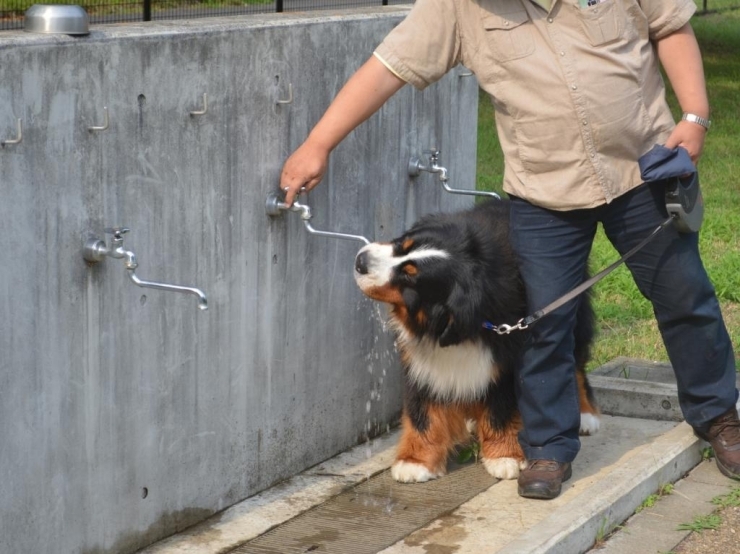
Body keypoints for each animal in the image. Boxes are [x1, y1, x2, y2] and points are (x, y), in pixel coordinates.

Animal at [354, 197, 600, 478]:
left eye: (408, 274)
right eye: (402, 244)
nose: (360, 261)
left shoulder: (507, 357)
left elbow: (500, 408)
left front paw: (504, 455)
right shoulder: (421, 359)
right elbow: (424, 410)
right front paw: (416, 461)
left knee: (575, 363)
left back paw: (586, 415)